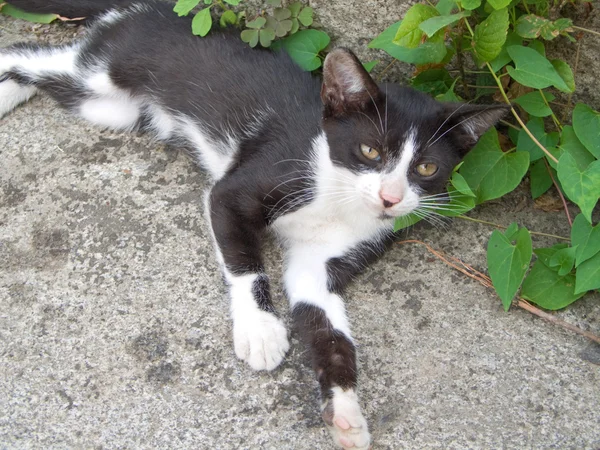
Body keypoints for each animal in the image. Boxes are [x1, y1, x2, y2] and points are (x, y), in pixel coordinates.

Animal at [0, 1, 506, 448]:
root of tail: (145, 7)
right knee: (32, 53)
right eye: (369, 151)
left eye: (426, 168)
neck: (336, 193)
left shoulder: (326, 261)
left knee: (55, 81)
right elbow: (243, 256)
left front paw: (345, 412)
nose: (390, 198)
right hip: (109, 68)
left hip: (114, 109)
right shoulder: (251, 182)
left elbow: (328, 328)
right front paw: (260, 330)